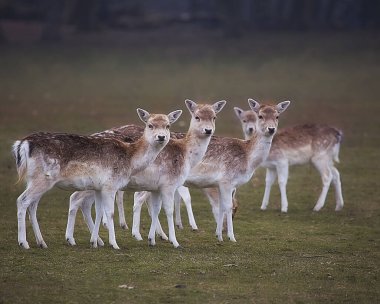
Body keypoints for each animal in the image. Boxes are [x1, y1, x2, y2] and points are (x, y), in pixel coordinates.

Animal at [12, 107, 183, 249]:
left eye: (168, 126)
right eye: (150, 125)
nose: (161, 137)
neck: (130, 159)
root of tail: (23, 143)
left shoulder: (99, 187)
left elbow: (99, 212)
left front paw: (95, 242)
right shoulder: (110, 185)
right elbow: (110, 213)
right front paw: (114, 244)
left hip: (33, 179)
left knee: (32, 205)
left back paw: (41, 242)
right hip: (43, 178)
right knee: (22, 200)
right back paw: (23, 243)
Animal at [65, 99, 226, 247]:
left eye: (214, 117)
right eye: (197, 116)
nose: (208, 130)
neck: (187, 154)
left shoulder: (155, 186)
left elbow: (155, 209)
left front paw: (153, 238)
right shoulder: (168, 184)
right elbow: (170, 208)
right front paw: (174, 240)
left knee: (83, 202)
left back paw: (94, 240)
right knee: (76, 198)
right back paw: (74, 239)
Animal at [132, 98, 290, 243]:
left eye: (277, 116)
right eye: (260, 116)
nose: (271, 129)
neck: (248, 158)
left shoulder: (218, 184)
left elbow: (220, 207)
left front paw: (219, 235)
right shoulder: (227, 180)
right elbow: (227, 206)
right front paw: (231, 237)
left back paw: (157, 235)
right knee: (138, 197)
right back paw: (140, 235)